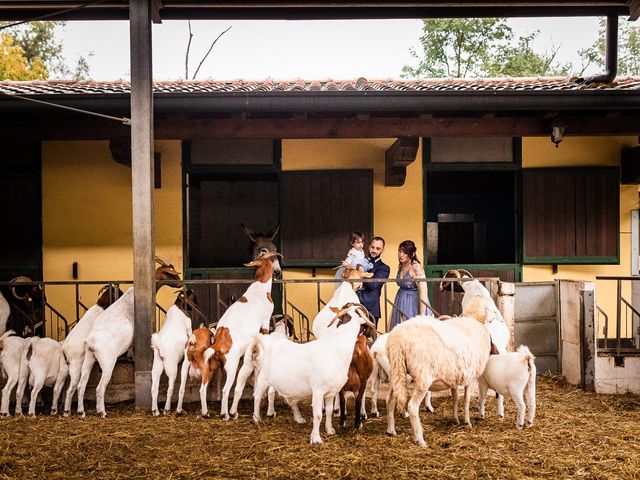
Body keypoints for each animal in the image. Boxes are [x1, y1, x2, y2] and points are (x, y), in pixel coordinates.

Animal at [62, 284, 123, 416]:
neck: (100, 305)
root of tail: (65, 349)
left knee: (70, 388)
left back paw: (67, 411)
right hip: (76, 366)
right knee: (73, 387)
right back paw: (76, 411)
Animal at [75, 256, 181, 418]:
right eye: (170, 273)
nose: (181, 283)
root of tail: (92, 343)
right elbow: (133, 345)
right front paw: (132, 357)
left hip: (88, 359)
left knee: (81, 385)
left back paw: (81, 412)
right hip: (107, 363)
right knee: (99, 388)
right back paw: (102, 412)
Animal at [151, 288, 196, 416]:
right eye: (193, 295)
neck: (178, 307)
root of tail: (160, 348)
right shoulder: (189, 326)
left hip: (156, 367)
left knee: (154, 389)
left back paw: (155, 411)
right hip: (172, 369)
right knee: (170, 389)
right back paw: (166, 409)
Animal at [252, 306, 378, 444]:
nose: (372, 335)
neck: (337, 348)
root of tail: (271, 343)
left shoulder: (331, 392)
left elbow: (329, 412)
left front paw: (330, 430)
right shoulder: (318, 391)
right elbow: (317, 415)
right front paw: (316, 439)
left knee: (290, 399)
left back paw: (299, 418)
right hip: (263, 378)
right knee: (257, 396)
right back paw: (256, 417)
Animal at [384, 316, 490, 446]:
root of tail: (397, 340)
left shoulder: (454, 377)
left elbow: (455, 398)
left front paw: (455, 419)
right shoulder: (470, 376)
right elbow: (466, 400)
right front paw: (467, 421)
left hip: (397, 372)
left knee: (390, 400)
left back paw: (391, 430)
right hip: (422, 377)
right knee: (412, 406)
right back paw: (420, 439)